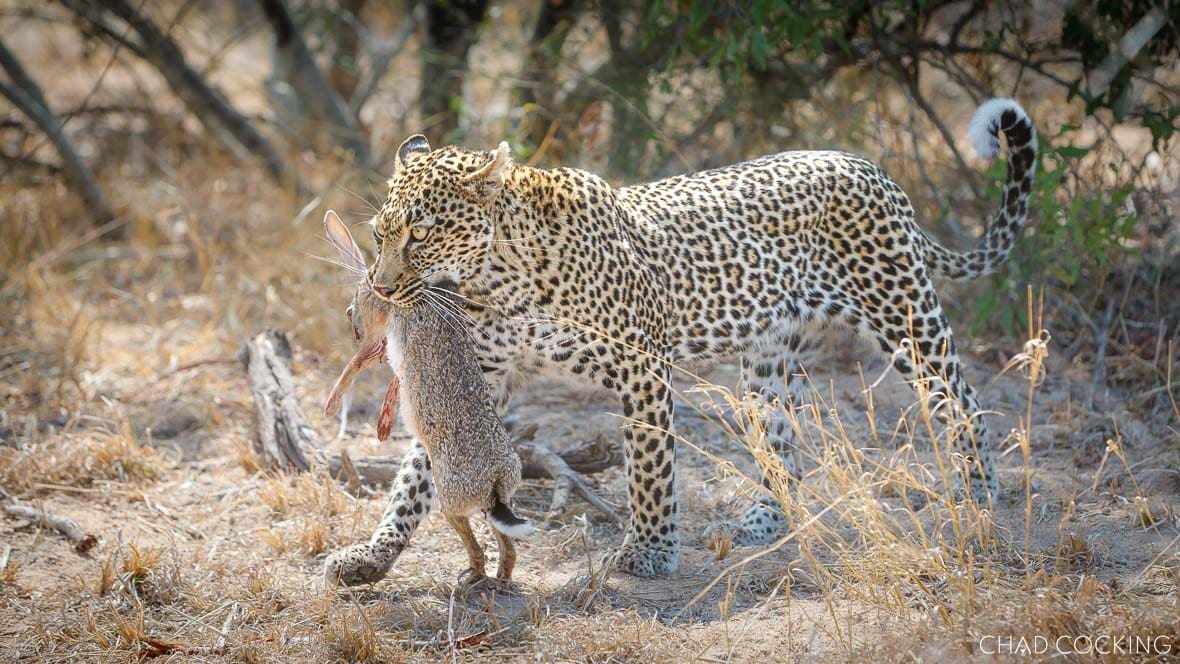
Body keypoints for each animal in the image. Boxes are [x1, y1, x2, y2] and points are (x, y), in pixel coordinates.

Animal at [321, 210, 531, 584]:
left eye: (349, 314)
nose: (352, 323)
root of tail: (494, 482)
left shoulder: (376, 334)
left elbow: (355, 364)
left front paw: (330, 407)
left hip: (447, 497)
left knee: (469, 535)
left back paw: (471, 576)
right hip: (498, 497)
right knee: (507, 544)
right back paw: (501, 578)